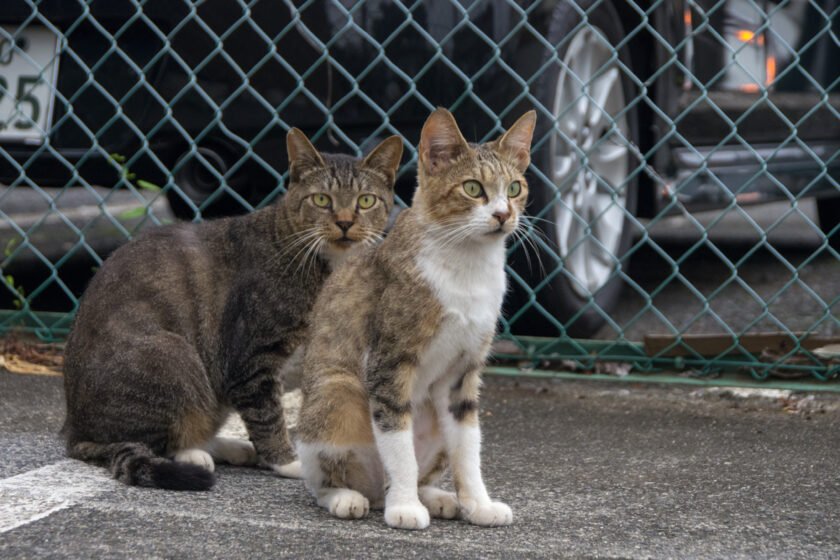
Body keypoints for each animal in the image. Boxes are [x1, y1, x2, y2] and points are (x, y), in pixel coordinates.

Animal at [62, 128, 404, 490]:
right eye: (322, 199)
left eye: (365, 200)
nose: (345, 222)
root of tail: (73, 430)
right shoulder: (250, 359)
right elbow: (267, 416)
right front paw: (288, 462)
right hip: (173, 357)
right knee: (150, 439)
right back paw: (194, 454)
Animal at [296, 107, 536, 528]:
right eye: (472, 188)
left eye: (514, 188)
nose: (504, 214)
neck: (467, 266)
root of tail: (376, 493)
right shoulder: (388, 363)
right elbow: (398, 443)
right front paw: (406, 508)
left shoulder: (463, 373)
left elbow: (468, 448)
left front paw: (479, 504)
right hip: (338, 391)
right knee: (324, 477)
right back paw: (350, 497)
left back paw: (438, 498)